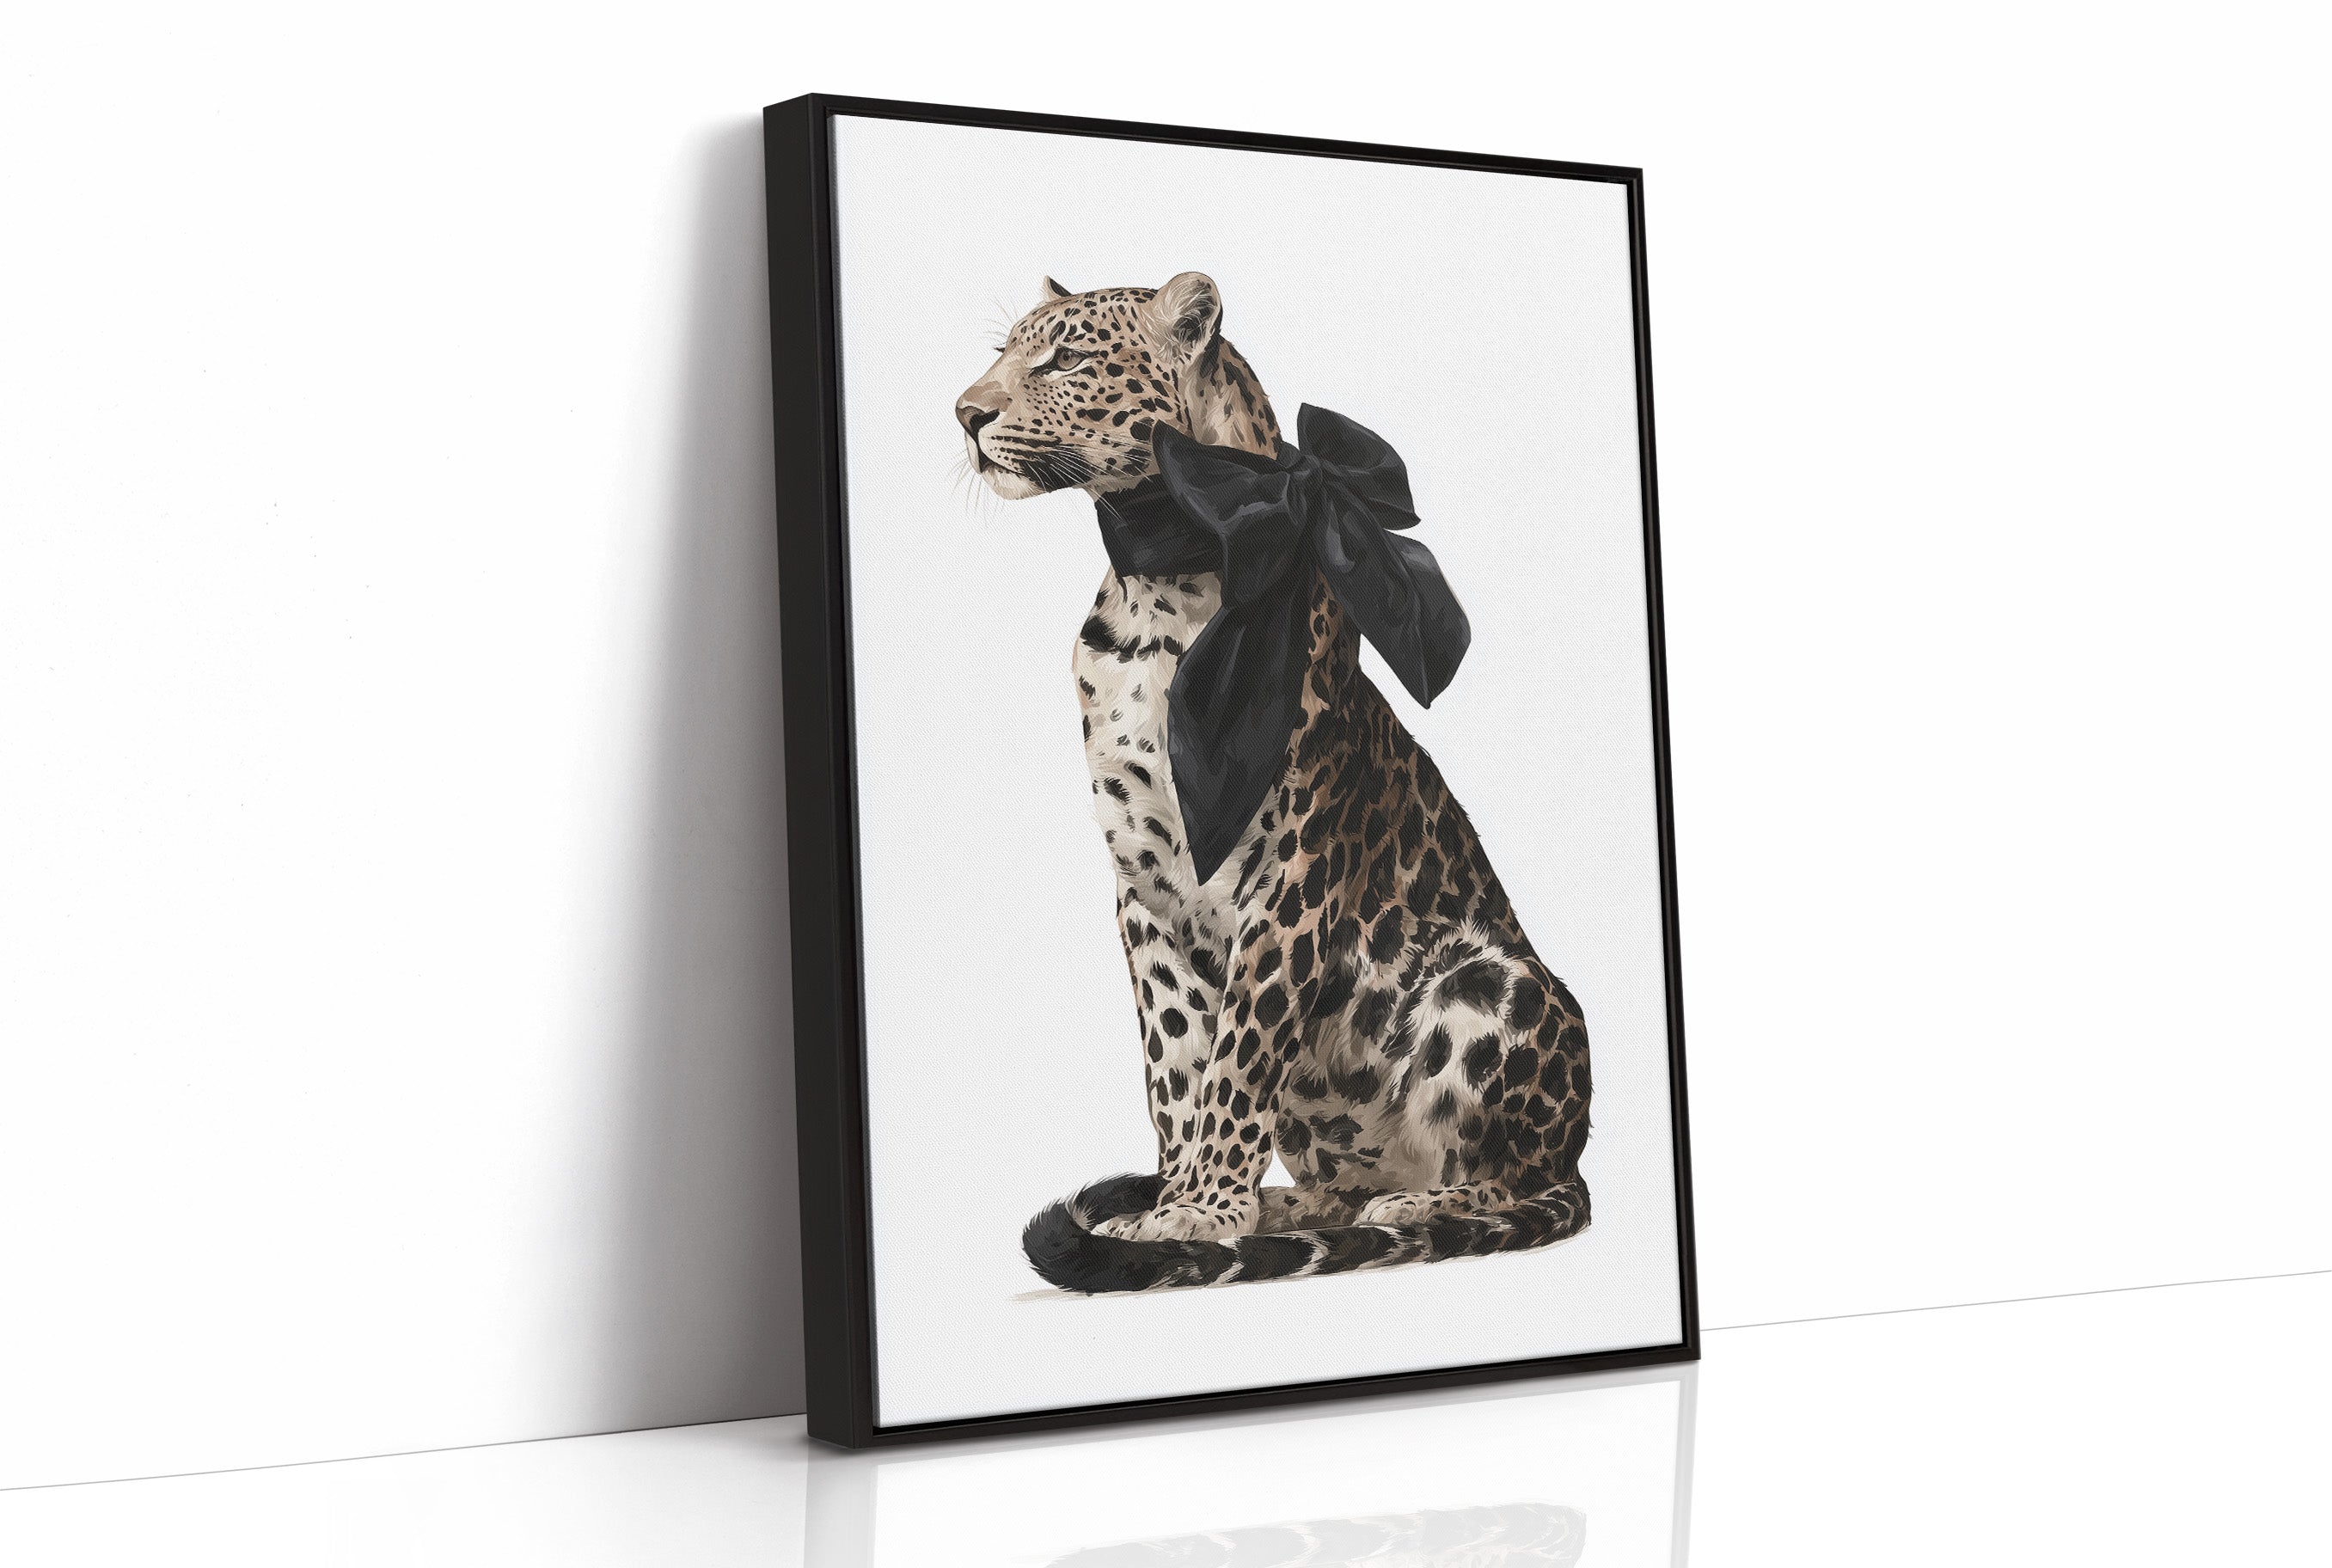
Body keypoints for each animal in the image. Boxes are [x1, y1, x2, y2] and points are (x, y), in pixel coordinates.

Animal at [957, 273, 1592, 1292]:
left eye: (1066, 358)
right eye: (1008, 351)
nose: (965, 413)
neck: (1161, 590)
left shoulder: (1289, 883)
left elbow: (1237, 1057)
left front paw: (1199, 1210)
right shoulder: (1144, 889)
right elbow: (1177, 1062)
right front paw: (1186, 1210)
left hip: (1494, 982)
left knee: (1510, 1175)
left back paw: (1420, 1204)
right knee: (1342, 1180)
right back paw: (1290, 1206)